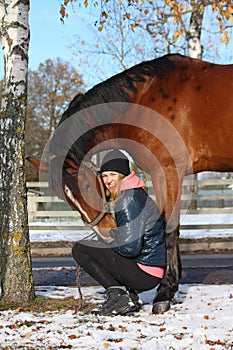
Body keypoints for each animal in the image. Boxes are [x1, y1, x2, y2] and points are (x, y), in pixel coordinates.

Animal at [33, 54, 233, 314]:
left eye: (85, 185)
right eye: (64, 198)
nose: (106, 234)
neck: (142, 100)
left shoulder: (167, 170)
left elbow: (169, 229)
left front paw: (164, 294)